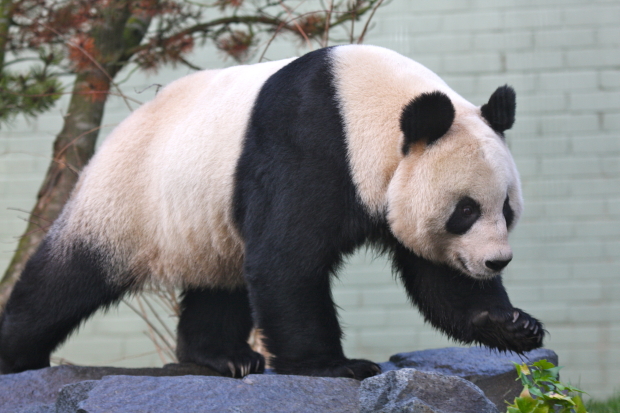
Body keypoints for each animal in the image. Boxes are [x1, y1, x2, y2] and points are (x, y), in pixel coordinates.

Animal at [0, 44, 544, 376]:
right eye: (465, 210)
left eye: (506, 209)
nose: (496, 262)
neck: (365, 104)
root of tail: (118, 130)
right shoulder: (309, 144)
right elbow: (288, 261)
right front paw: (336, 366)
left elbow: (438, 275)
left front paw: (515, 325)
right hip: (128, 196)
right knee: (67, 277)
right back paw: (16, 354)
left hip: (208, 222)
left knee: (221, 286)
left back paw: (224, 358)